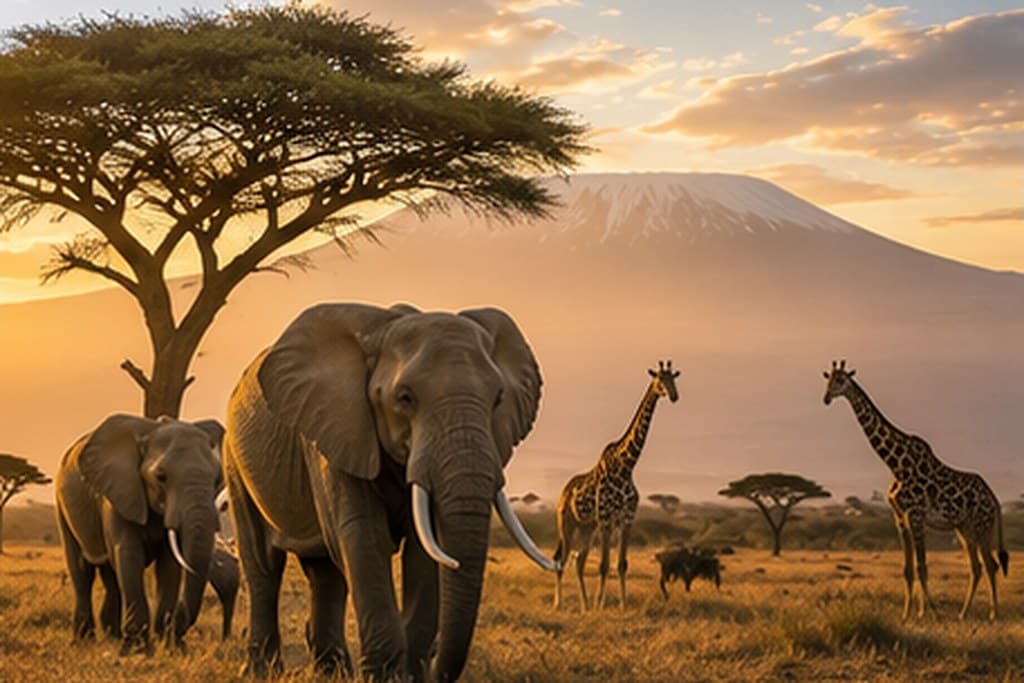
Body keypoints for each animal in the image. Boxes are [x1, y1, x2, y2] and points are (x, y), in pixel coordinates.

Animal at [55, 414, 224, 654]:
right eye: (161, 477)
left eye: (217, 479)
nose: (178, 628)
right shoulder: (119, 492)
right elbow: (129, 553)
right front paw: (137, 651)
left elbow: (169, 564)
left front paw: (170, 648)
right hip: (62, 504)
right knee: (82, 571)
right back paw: (83, 642)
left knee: (111, 577)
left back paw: (112, 638)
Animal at [223, 303, 557, 681]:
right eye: (405, 398)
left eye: (498, 398)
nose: (436, 665)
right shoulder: (337, 429)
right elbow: (362, 536)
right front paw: (384, 677)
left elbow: (424, 549)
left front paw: (410, 675)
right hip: (234, 459)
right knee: (263, 563)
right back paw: (260, 670)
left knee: (325, 573)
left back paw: (331, 672)